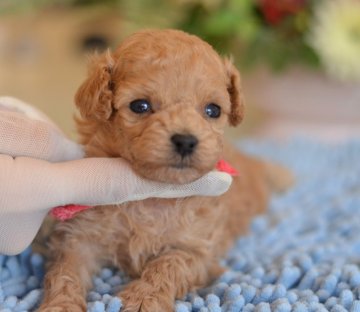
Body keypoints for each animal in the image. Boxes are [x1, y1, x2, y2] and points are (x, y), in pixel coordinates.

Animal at [38, 29, 290, 312]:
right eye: (140, 106)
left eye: (213, 110)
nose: (186, 141)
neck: (154, 192)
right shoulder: (78, 237)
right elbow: (65, 272)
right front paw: (61, 305)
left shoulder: (198, 249)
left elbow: (169, 264)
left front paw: (142, 298)